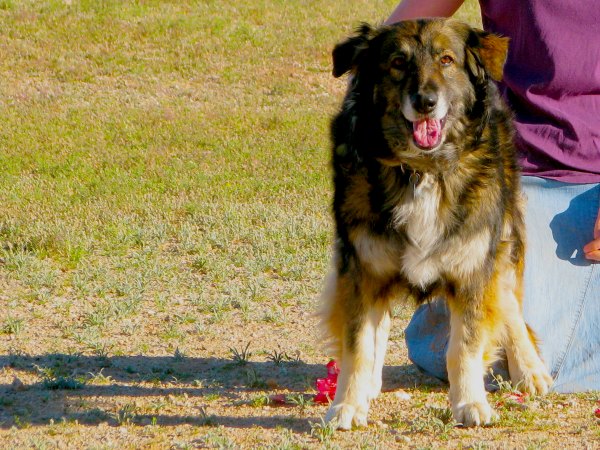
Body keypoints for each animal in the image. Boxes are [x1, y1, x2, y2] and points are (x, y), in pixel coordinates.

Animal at [318, 19, 552, 428]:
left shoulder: (474, 265)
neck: (421, 171)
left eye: (446, 60)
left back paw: (530, 369)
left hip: (505, 234)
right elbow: (359, 343)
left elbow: (465, 345)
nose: (425, 101)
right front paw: (346, 404)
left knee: (508, 299)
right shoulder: (360, 267)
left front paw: (470, 402)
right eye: (397, 62)